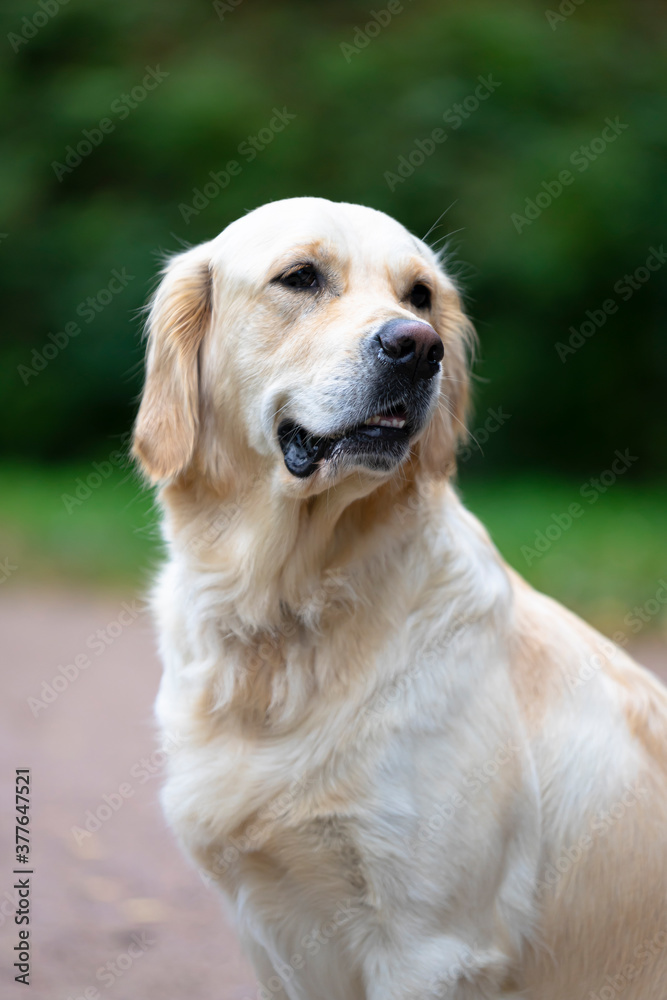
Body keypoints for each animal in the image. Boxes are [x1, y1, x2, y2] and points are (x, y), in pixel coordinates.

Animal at [132, 197, 667, 1000]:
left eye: (419, 296)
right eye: (300, 277)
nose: (418, 348)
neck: (289, 610)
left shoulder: (431, 946)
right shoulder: (267, 932)